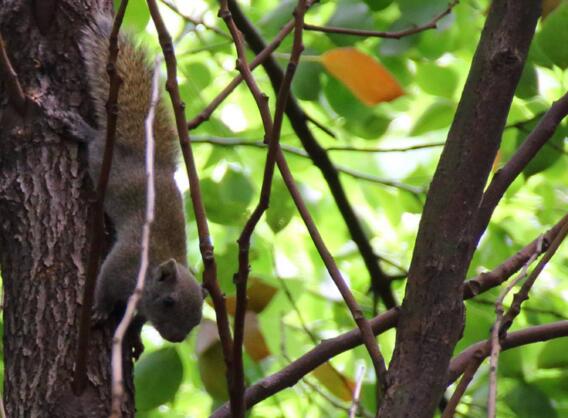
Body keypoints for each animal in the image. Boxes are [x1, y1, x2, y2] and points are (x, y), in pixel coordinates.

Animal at [77, 13, 204, 342]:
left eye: (198, 319)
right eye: (169, 301)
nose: (177, 338)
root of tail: (150, 159)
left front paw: (134, 330)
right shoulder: (124, 262)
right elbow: (104, 283)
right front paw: (100, 309)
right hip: (104, 164)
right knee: (94, 143)